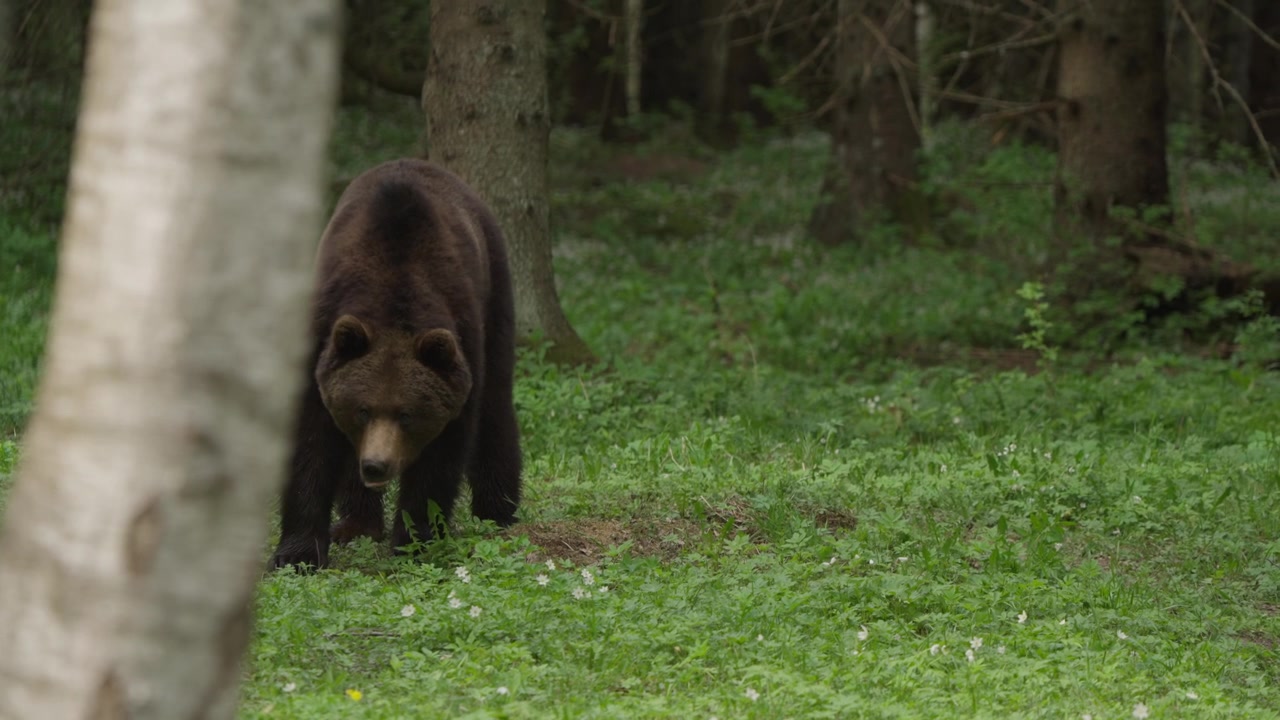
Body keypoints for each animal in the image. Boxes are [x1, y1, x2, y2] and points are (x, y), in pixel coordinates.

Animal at [270, 159, 523, 570]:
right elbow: (311, 445)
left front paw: (414, 543)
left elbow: (439, 458)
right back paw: (357, 523)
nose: (377, 465)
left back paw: (497, 509)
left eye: (407, 414)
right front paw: (298, 553)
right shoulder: (323, 337)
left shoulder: (459, 337)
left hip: (495, 290)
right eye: (362, 410)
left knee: (495, 404)